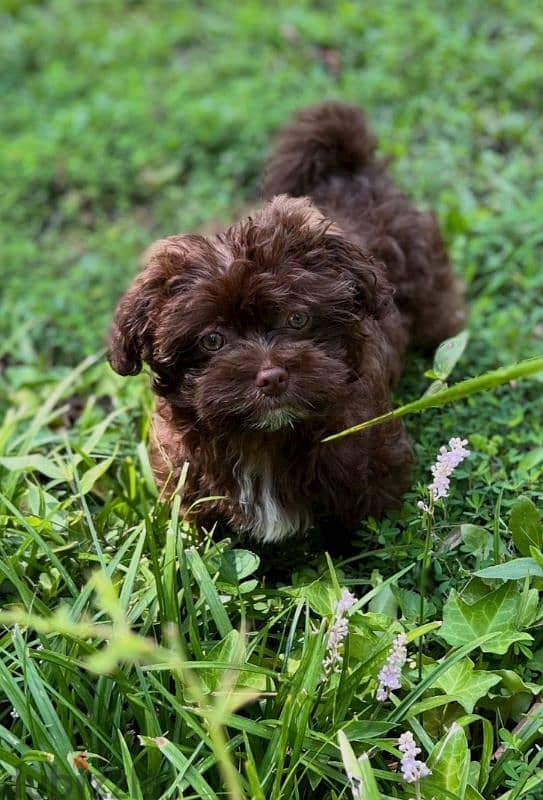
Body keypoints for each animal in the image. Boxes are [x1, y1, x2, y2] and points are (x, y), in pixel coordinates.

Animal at [108, 101, 466, 544]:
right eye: (212, 340)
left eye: (297, 318)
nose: (272, 377)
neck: (265, 437)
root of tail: (348, 170)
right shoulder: (190, 482)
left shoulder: (370, 467)